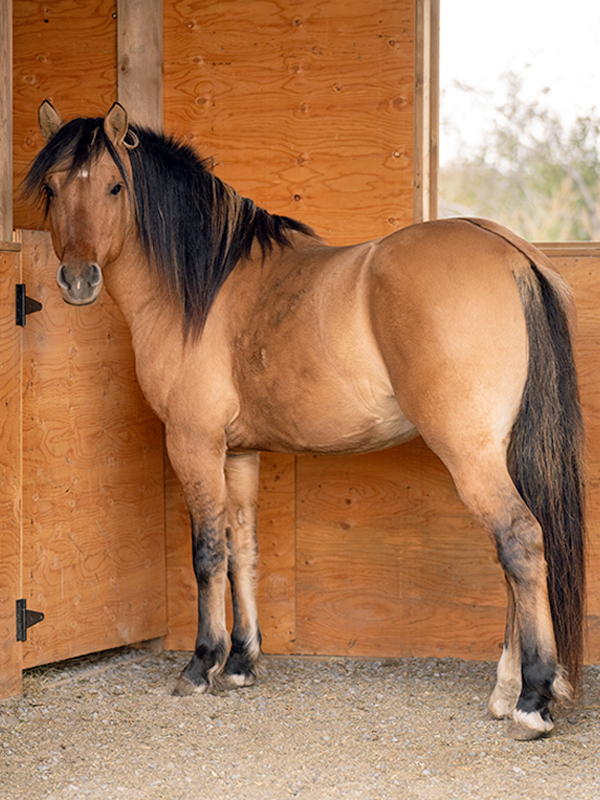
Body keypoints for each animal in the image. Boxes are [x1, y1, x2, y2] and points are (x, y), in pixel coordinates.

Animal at [25, 100, 586, 740]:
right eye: (52, 187)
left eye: (115, 186)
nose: (78, 280)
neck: (203, 289)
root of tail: (509, 252)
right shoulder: (238, 451)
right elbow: (242, 548)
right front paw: (240, 662)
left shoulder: (194, 442)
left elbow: (206, 553)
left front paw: (201, 665)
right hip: (499, 449)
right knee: (515, 554)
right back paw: (506, 689)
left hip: (469, 452)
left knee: (520, 542)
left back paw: (532, 700)